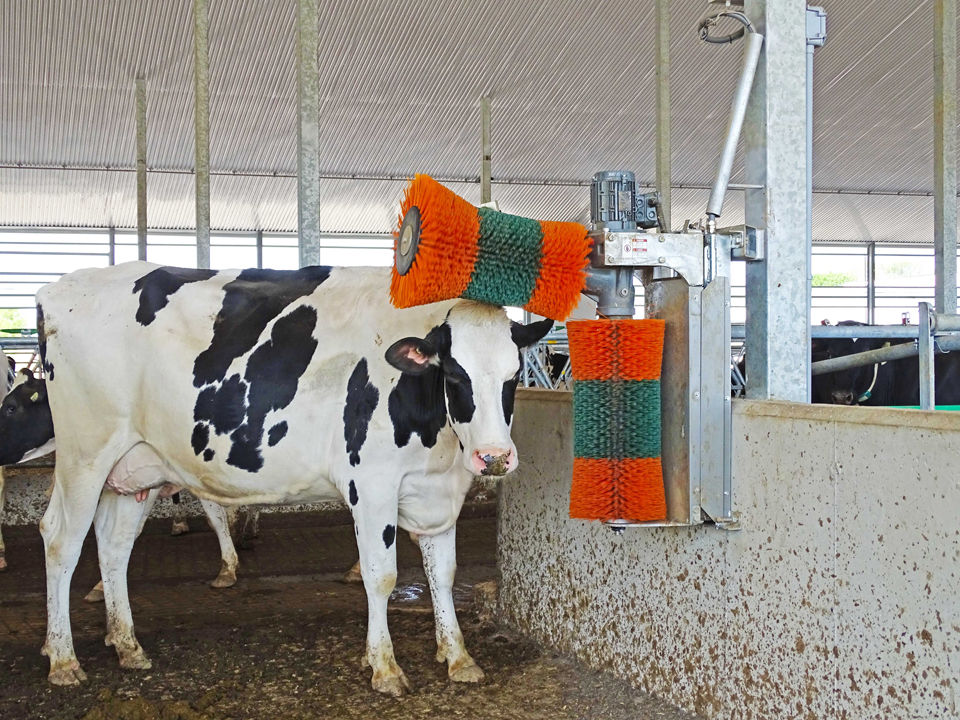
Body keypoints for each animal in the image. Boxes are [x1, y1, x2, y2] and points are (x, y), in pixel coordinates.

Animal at [34, 262, 552, 694]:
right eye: (456, 376)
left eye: (513, 376)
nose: (494, 457)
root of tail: (62, 286)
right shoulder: (373, 486)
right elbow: (381, 576)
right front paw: (384, 667)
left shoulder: (437, 491)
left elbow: (443, 573)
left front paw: (458, 656)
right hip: (85, 454)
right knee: (60, 540)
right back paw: (62, 658)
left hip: (134, 467)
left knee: (113, 548)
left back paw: (127, 645)